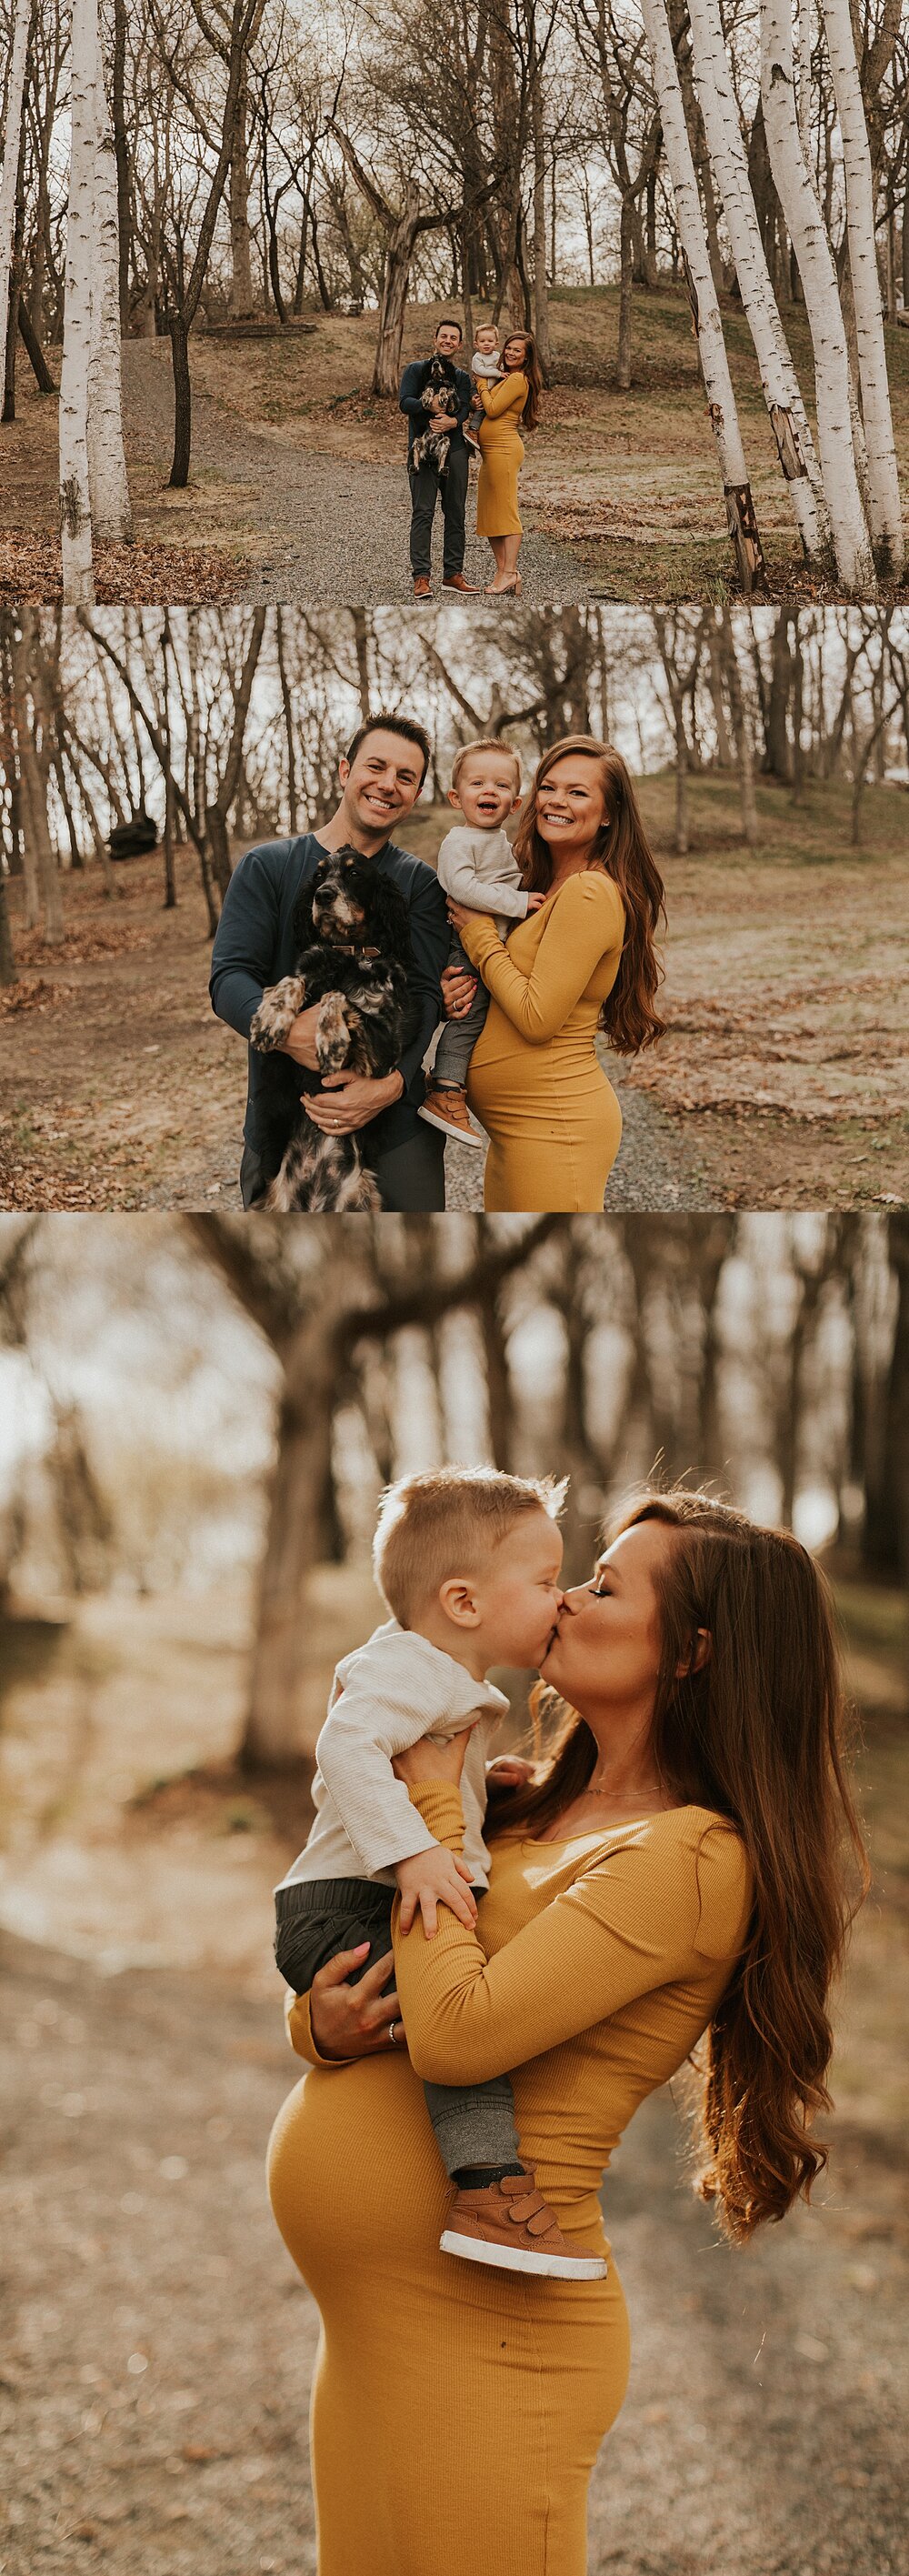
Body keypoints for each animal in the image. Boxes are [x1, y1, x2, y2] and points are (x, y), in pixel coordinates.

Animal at [409, 350, 461, 476]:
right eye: (432, 360)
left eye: (442, 359)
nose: (436, 365)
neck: (438, 380)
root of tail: (430, 455)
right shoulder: (425, 389)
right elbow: (428, 389)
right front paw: (427, 399)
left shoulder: (453, 404)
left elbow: (447, 390)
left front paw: (444, 396)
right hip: (417, 441)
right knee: (416, 462)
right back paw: (413, 468)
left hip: (446, 441)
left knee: (441, 463)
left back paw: (444, 469)